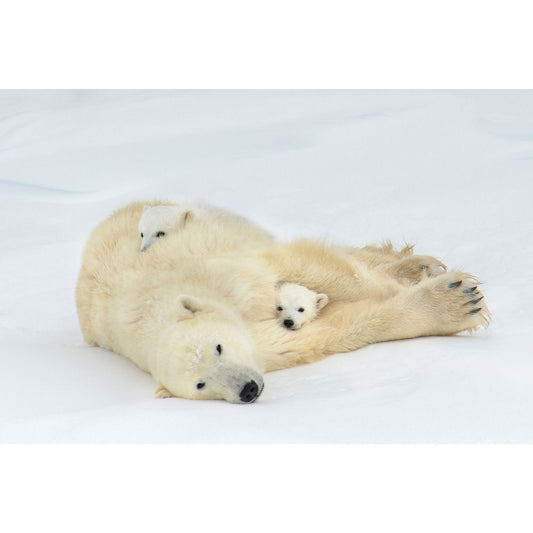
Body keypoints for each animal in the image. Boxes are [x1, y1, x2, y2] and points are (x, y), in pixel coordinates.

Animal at [76, 202, 490, 402]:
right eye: (200, 384)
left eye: (218, 347)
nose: (248, 389)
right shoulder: (265, 342)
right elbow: (323, 333)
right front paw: (455, 302)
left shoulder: (218, 271)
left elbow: (301, 268)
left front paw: (456, 298)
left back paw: (413, 265)